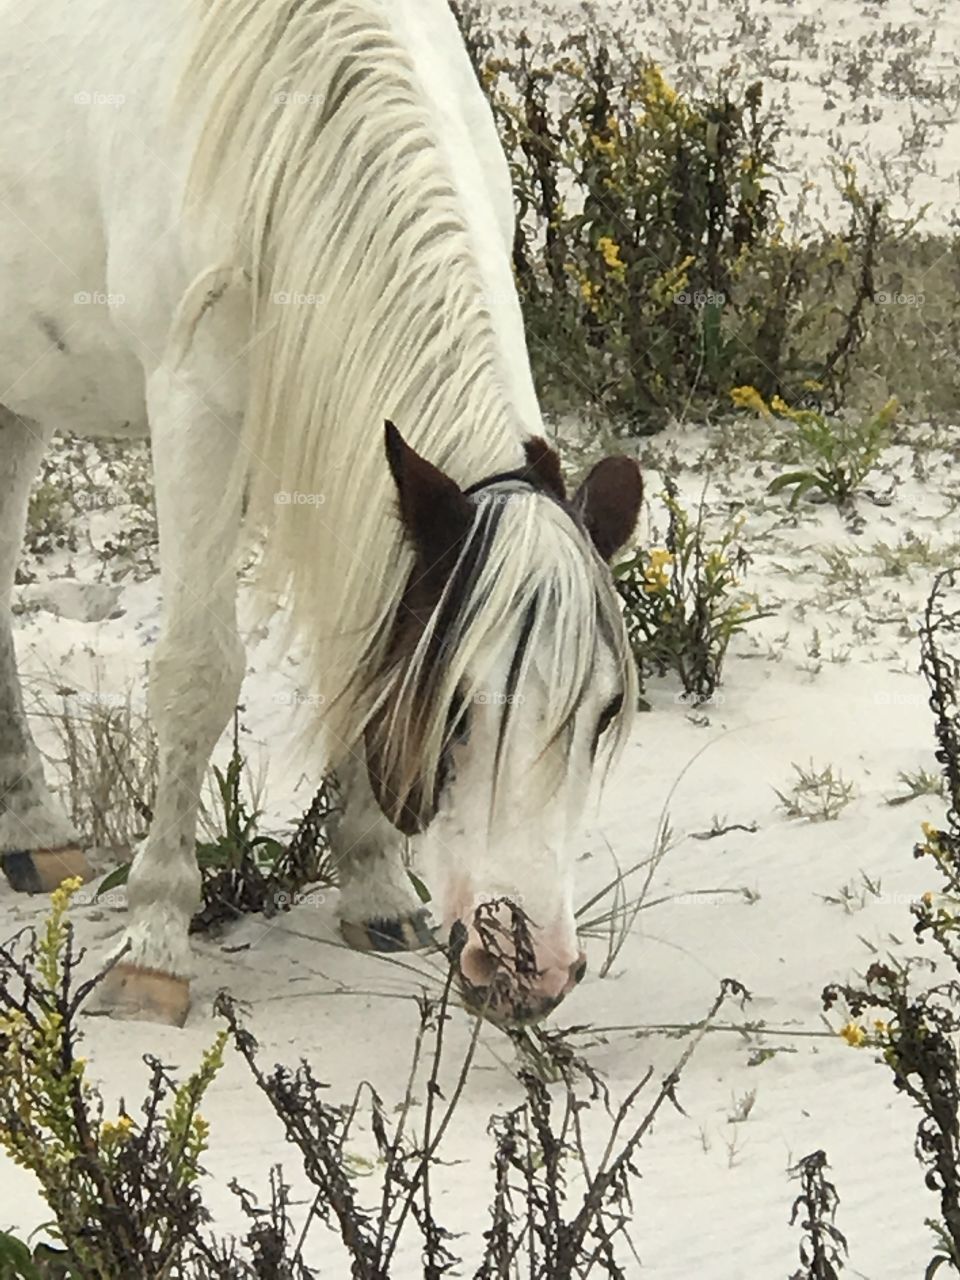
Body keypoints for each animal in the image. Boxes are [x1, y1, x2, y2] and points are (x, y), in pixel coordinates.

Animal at [1, 0, 647, 1024]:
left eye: (608, 705)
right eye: (458, 707)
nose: (529, 969)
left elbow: (360, 653)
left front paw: (377, 890)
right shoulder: (194, 408)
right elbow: (195, 676)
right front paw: (154, 944)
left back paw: (27, 827)